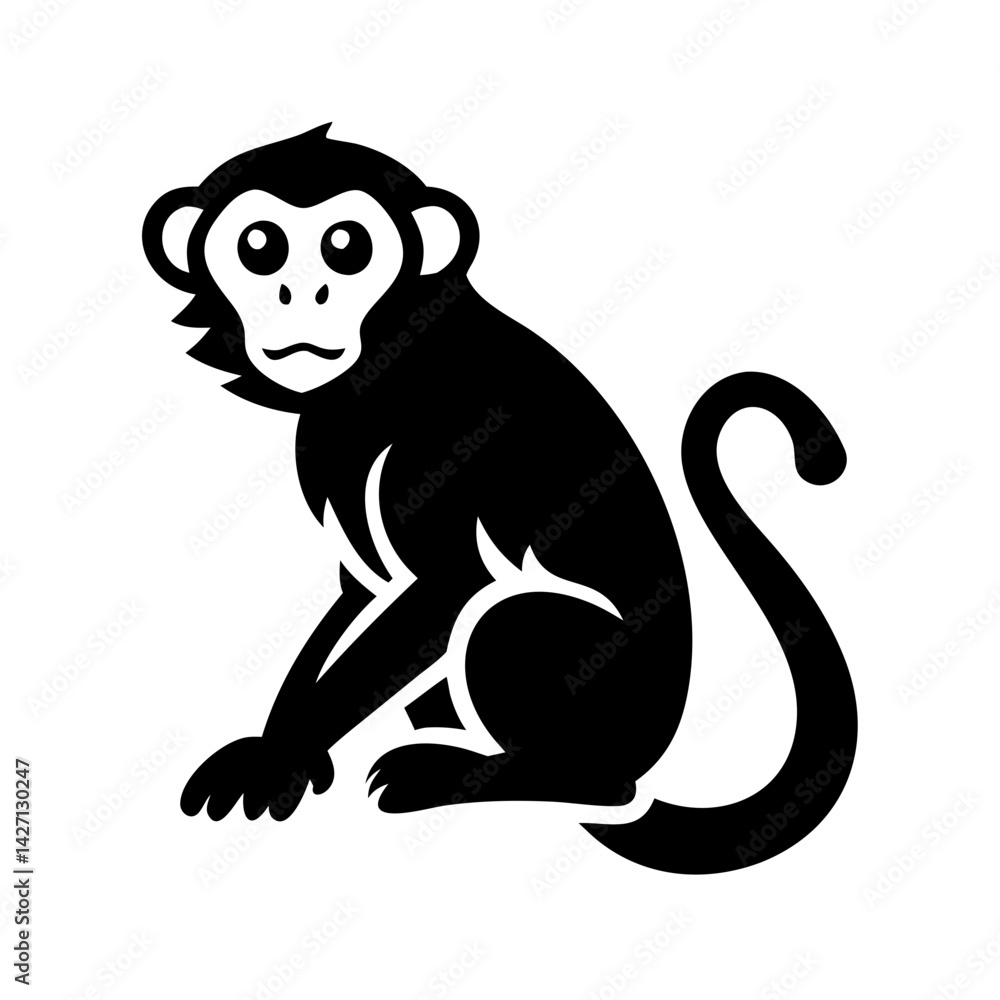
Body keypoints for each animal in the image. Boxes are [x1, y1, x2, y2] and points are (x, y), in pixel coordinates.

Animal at [142, 123, 857, 874]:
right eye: (259, 245)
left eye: (346, 247)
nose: (298, 292)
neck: (387, 367)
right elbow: (358, 595)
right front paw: (280, 746)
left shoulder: (448, 441)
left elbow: (446, 582)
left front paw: (281, 757)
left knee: (514, 630)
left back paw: (474, 777)